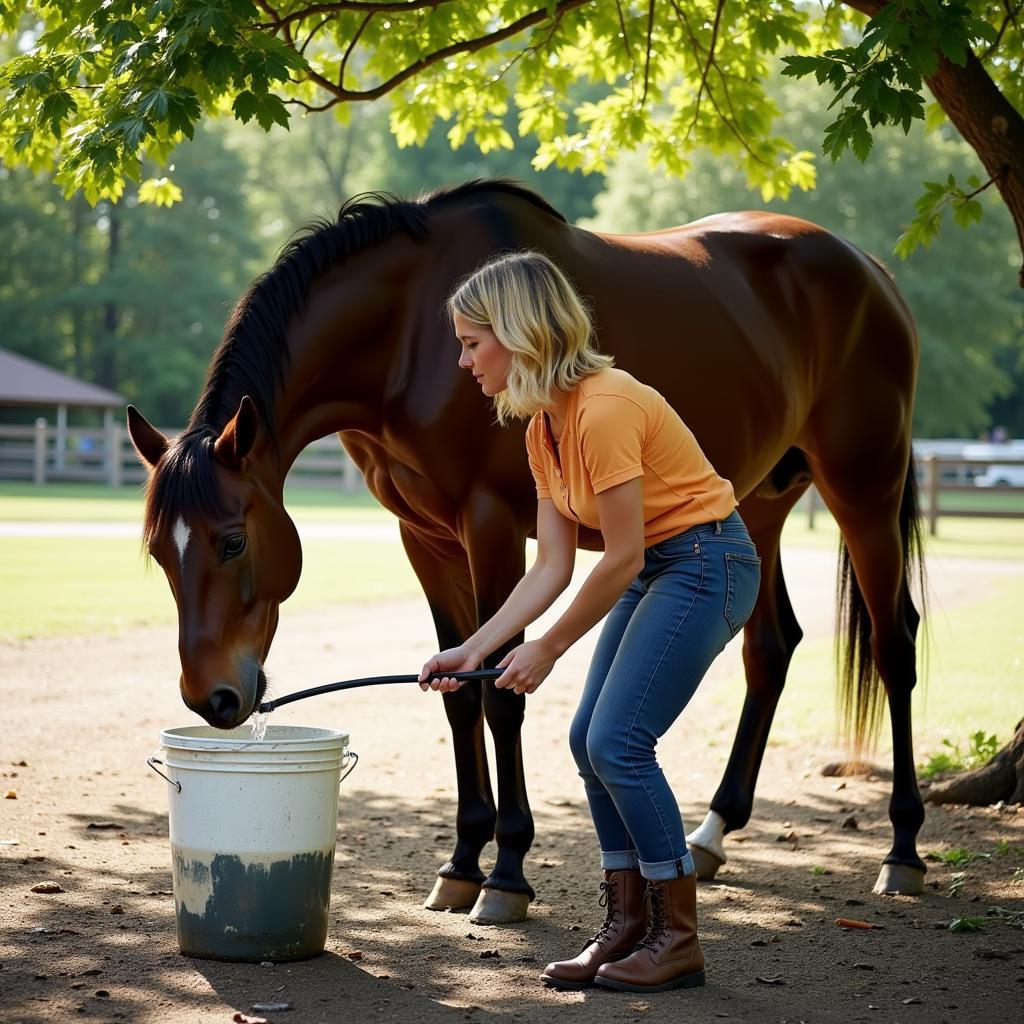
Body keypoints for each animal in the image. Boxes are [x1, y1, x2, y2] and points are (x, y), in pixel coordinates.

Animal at [130, 176, 929, 921]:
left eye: (233, 541)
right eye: (159, 554)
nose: (212, 697)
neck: (408, 333)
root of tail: (871, 270)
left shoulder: (492, 525)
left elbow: (499, 695)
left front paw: (507, 872)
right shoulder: (425, 537)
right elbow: (457, 693)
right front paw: (460, 863)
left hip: (865, 489)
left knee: (895, 647)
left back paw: (902, 849)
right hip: (758, 505)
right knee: (770, 647)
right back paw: (711, 834)